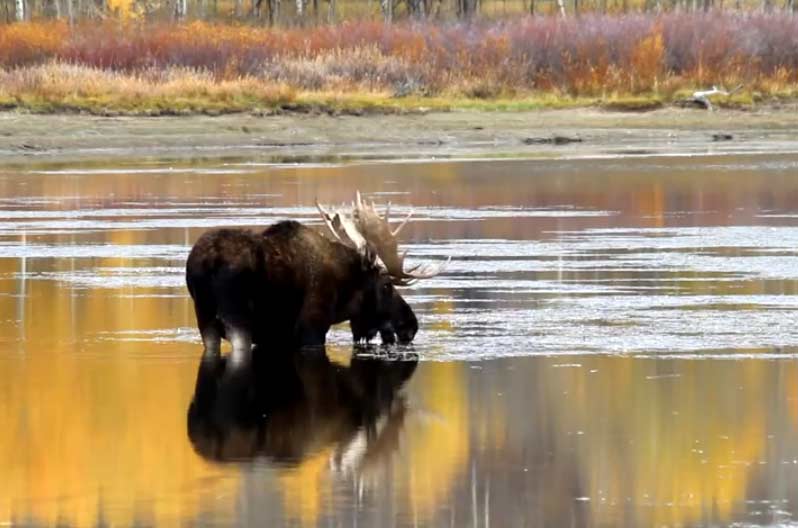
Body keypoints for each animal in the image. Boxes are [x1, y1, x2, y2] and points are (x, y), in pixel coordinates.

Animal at [186, 194, 444, 368]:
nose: (411, 325)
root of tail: (206, 263)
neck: (344, 291)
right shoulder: (312, 327)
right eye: (387, 285)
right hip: (237, 318)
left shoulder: (276, 338)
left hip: (205, 318)